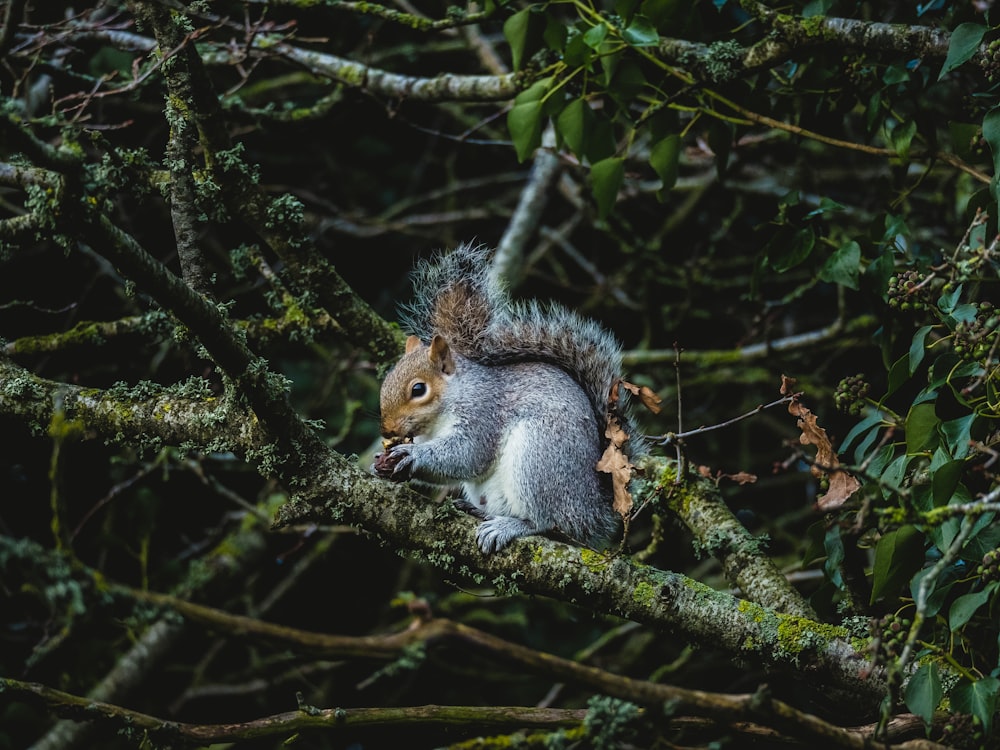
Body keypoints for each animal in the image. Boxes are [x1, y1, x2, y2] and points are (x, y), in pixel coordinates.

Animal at [376, 244, 632, 556]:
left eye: (418, 389)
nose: (387, 429)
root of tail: (591, 511)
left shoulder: (482, 414)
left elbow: (468, 455)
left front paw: (411, 455)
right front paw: (385, 464)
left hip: (538, 459)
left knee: (546, 522)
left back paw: (510, 526)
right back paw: (479, 512)